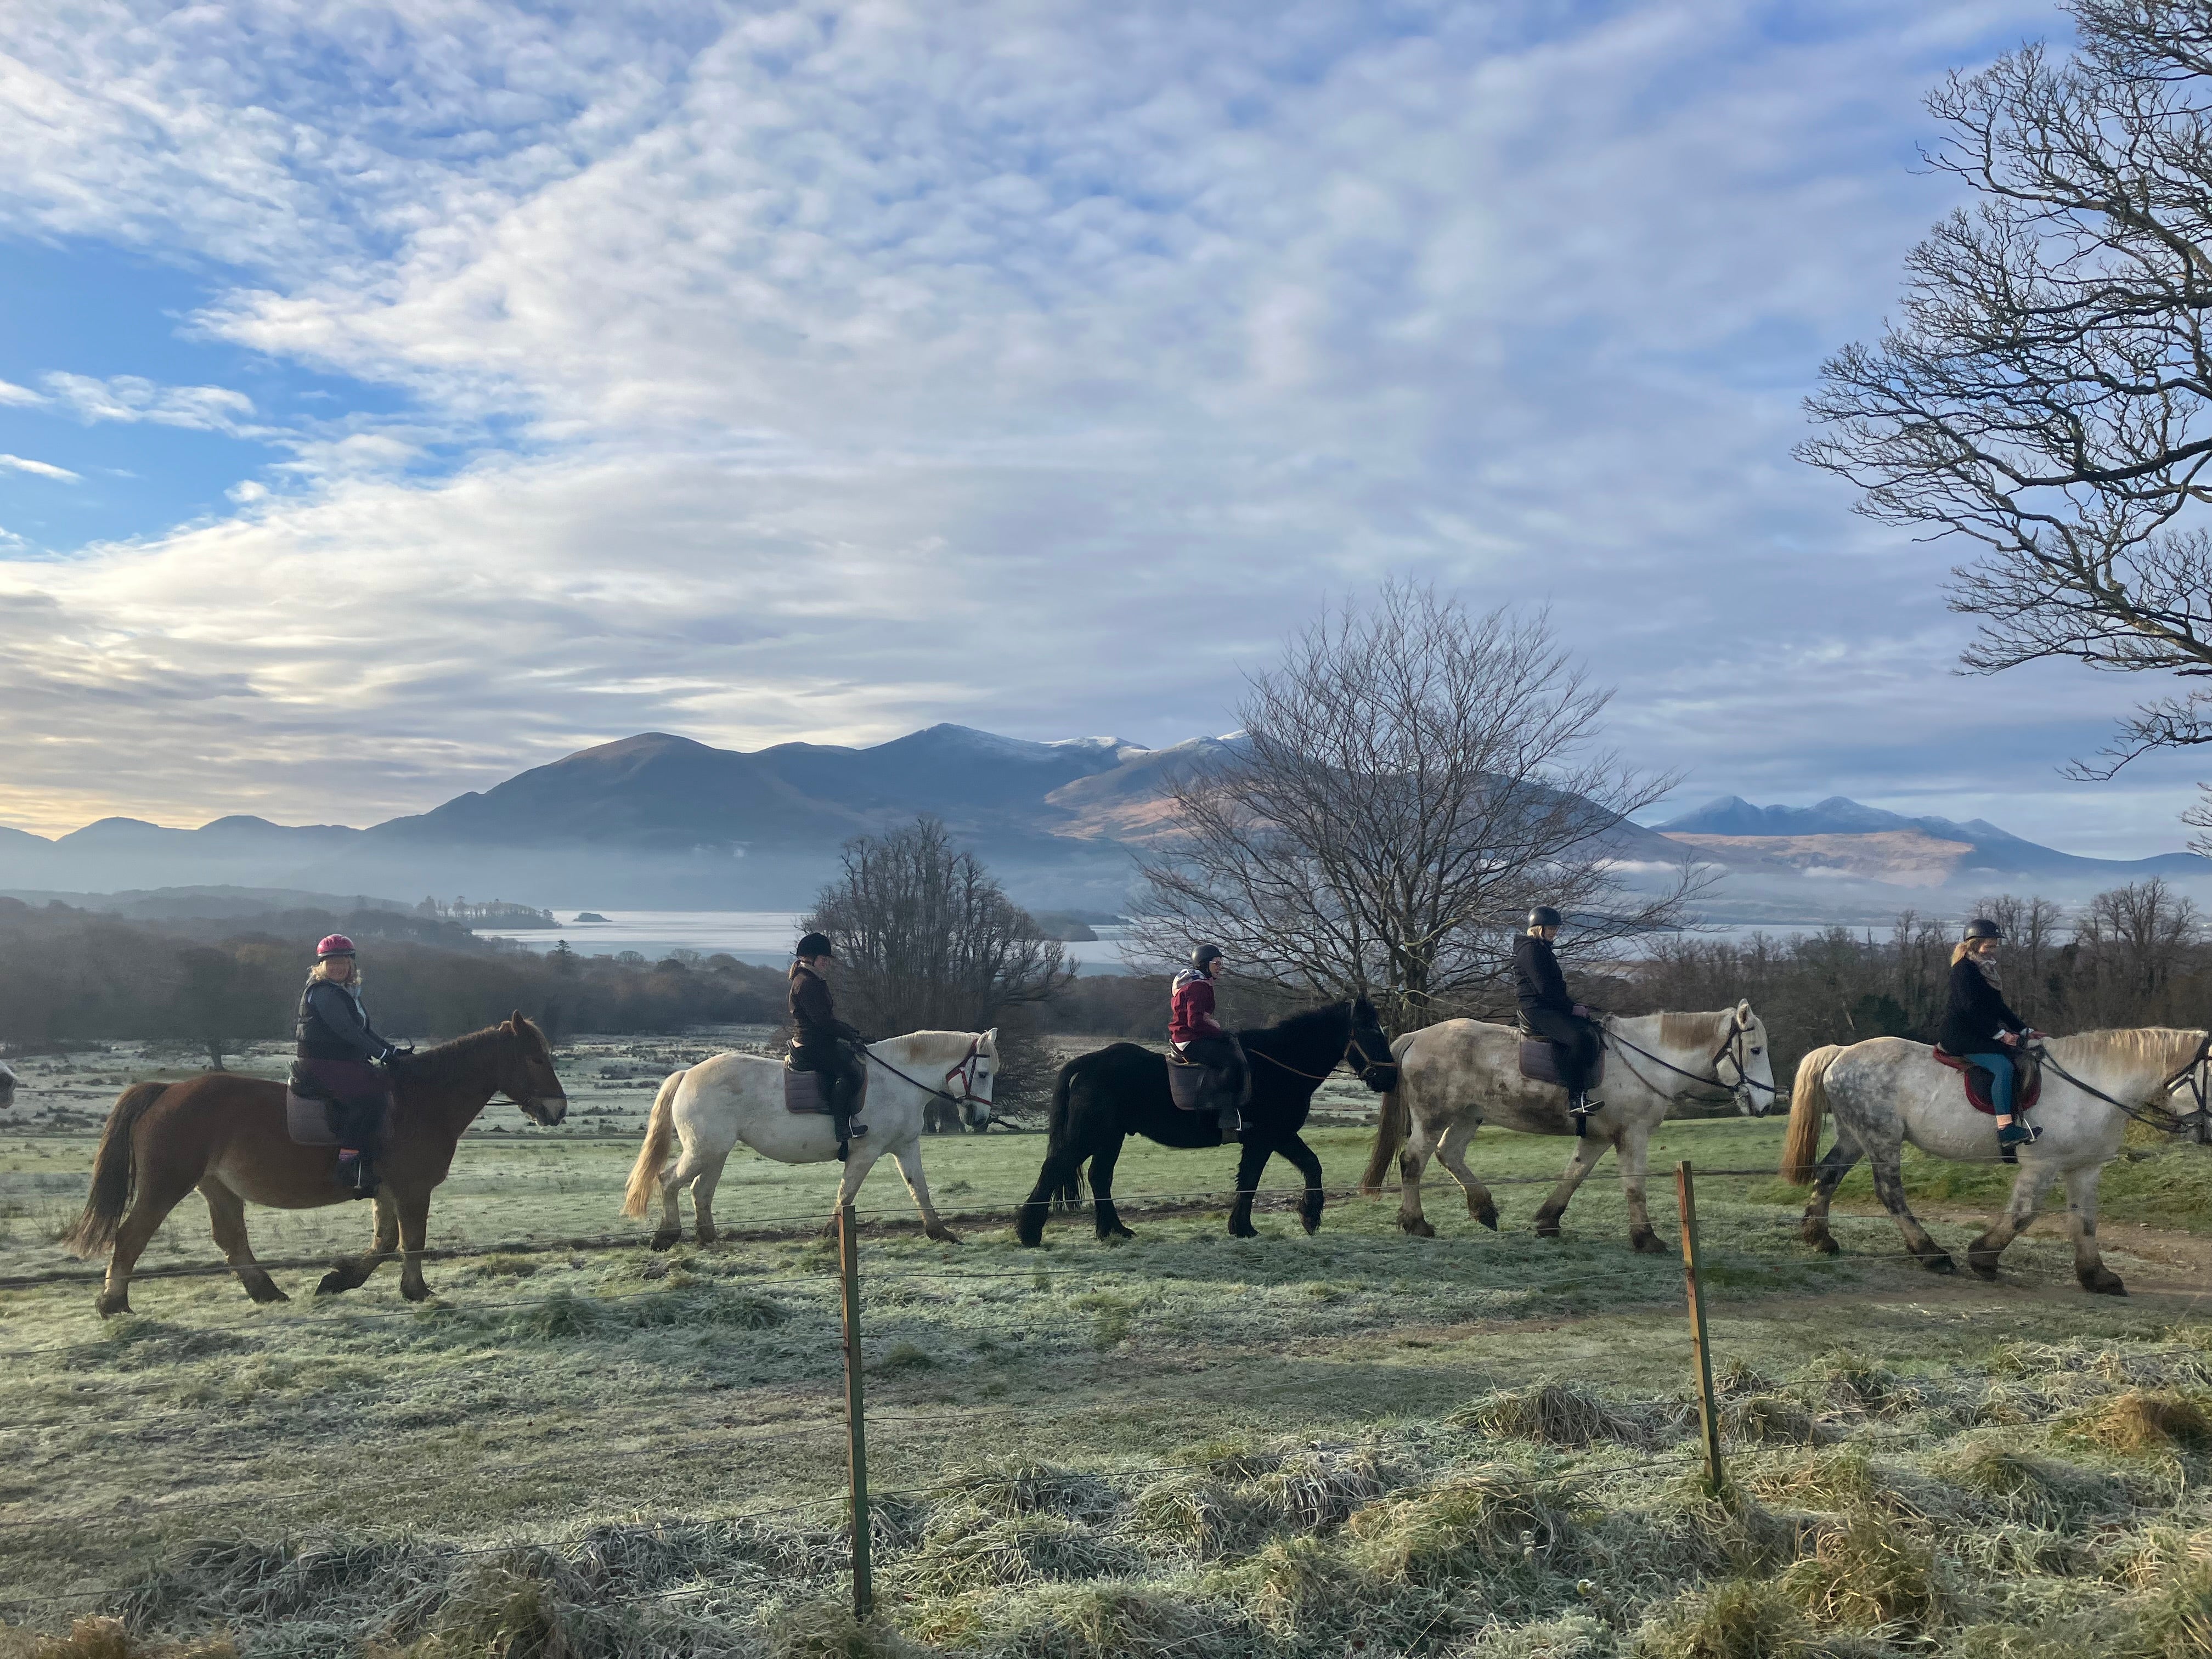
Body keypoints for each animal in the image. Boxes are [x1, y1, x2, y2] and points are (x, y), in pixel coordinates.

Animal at [64, 1013, 566, 1315]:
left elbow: (385, 1242)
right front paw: (417, 1291)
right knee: (131, 1235)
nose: (557, 1110)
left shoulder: (387, 1190)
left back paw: (266, 1291)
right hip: (167, 1184)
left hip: (217, 1186)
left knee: (231, 1240)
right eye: (535, 1057)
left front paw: (339, 1280)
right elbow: (412, 1242)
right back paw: (114, 1302)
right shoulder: (412, 1189)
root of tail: (166, 1092)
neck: (422, 1101)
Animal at [622, 1029, 998, 1247]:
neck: (897, 1081)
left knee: (701, 1191)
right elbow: (847, 1193)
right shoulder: (866, 1152)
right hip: (704, 1150)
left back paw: (708, 1239)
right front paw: (832, 1235)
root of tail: (688, 1074)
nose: (980, 1120)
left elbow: (918, 1188)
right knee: (668, 1180)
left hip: (716, 1153)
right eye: (982, 1073)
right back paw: (666, 1236)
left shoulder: (905, 1147)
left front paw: (940, 1233)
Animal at [1015, 998, 1398, 1246]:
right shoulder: (1272, 1136)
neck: (1280, 1064)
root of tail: (1091, 1061)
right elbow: (1273, 1174)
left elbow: (1270, 1174)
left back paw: (1114, 1231)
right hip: (1090, 1134)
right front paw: (1298, 1217)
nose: (1390, 1078)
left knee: (1100, 1177)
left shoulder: (1271, 1138)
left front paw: (1253, 1225)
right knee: (1055, 1167)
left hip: (1111, 1137)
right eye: (1370, 1030)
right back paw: (1029, 1232)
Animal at [1359, 1004, 1777, 1252]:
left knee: (1450, 1154)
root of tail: (1416, 1036)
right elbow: (1634, 1186)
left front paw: (1547, 1221)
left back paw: (1484, 1208)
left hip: (1468, 1115)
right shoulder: (1633, 1133)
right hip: (1434, 1118)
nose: (1768, 1103)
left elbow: (1574, 1175)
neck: (1647, 1059)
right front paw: (1646, 1238)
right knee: (1414, 1160)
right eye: (1756, 1050)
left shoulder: (1596, 1137)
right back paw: (1416, 1223)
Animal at [1780, 1027, 2212, 1294]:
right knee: (1890, 1193)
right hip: (1881, 1138)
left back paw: (1819, 1238)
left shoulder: (2084, 1167)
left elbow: (2085, 1221)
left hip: (1854, 1137)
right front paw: (1984, 1258)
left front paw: (2098, 1278)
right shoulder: (2042, 1164)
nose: (2205, 1133)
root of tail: (1842, 1053)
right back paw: (1932, 1254)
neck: (2093, 1086)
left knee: (1828, 1175)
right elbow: (2024, 1215)